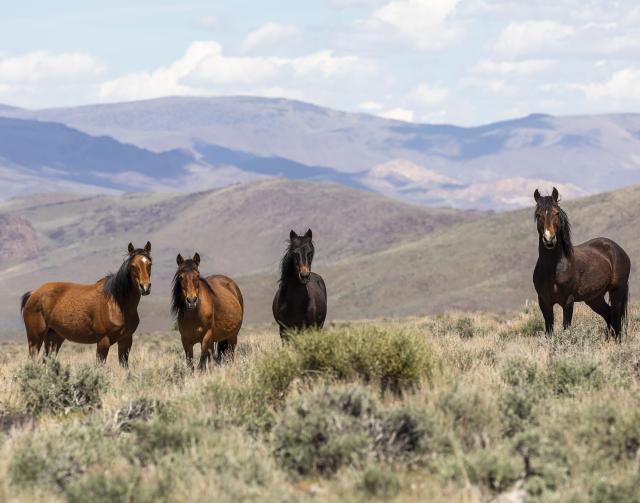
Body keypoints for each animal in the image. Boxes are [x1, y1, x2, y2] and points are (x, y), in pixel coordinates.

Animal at [21, 242, 152, 365]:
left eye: (149, 264)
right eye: (133, 266)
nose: (145, 287)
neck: (117, 304)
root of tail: (33, 293)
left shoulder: (126, 340)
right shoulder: (103, 341)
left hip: (54, 338)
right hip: (35, 338)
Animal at [533, 188, 630, 341]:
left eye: (556, 213)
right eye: (538, 214)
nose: (549, 239)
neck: (553, 269)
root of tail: (618, 249)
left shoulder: (568, 302)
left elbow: (566, 329)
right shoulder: (544, 302)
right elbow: (549, 332)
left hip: (617, 291)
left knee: (616, 319)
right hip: (594, 298)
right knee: (609, 316)